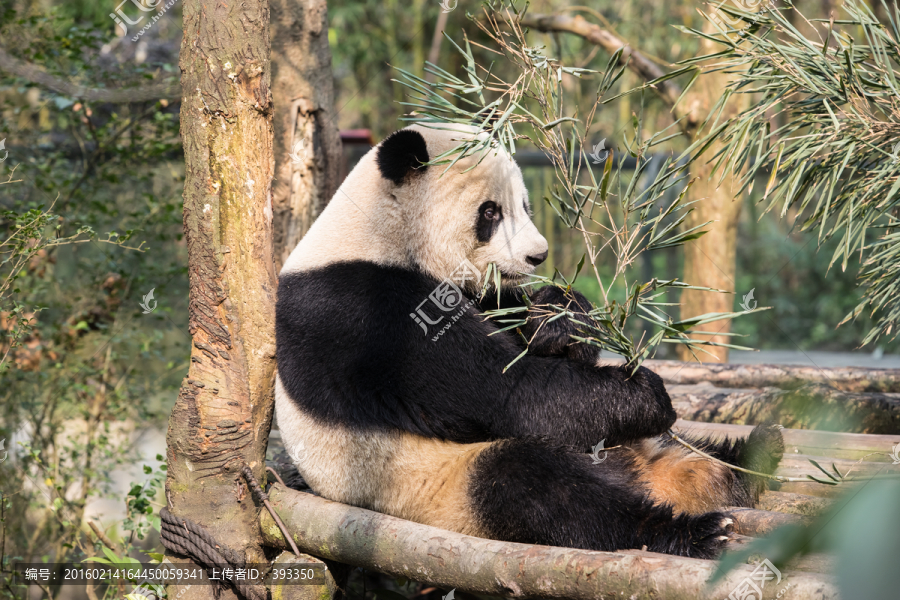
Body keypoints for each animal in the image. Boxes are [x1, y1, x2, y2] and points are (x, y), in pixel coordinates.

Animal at [272, 122, 780, 556]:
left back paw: (753, 457)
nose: (538, 255)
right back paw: (690, 531)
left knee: (684, 451)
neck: (377, 231)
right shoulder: (373, 312)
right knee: (536, 486)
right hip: (437, 485)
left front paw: (560, 315)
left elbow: (530, 332)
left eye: (525, 207)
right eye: (490, 212)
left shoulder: (484, 293)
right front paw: (646, 391)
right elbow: (515, 395)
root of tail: (638, 473)